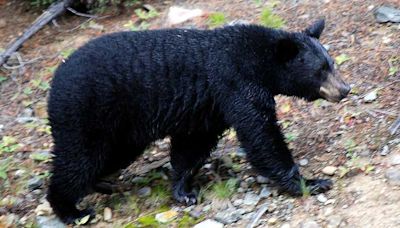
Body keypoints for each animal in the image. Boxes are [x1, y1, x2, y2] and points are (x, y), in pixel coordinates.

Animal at [47, 19, 348, 223]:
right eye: (320, 70)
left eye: (331, 63)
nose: (345, 89)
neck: (259, 61)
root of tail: (56, 78)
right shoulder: (236, 83)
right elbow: (261, 136)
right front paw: (310, 182)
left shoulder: (209, 108)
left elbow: (192, 146)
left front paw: (183, 190)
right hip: (86, 112)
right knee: (79, 159)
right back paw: (71, 210)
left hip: (122, 131)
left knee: (110, 157)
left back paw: (102, 184)